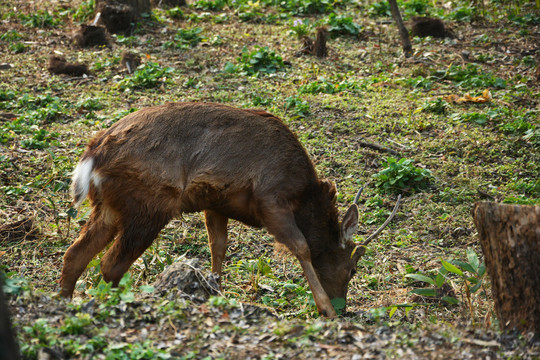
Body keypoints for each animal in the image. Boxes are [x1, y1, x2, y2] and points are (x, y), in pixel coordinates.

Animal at [59, 102, 398, 318]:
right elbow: (301, 246)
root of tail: (92, 157)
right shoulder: (270, 199)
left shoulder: (216, 203)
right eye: (352, 269)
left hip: (109, 206)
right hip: (150, 204)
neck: (303, 194)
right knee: (110, 264)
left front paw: (215, 292)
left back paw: (63, 303)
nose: (344, 306)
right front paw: (324, 308)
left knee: (75, 253)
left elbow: (218, 246)